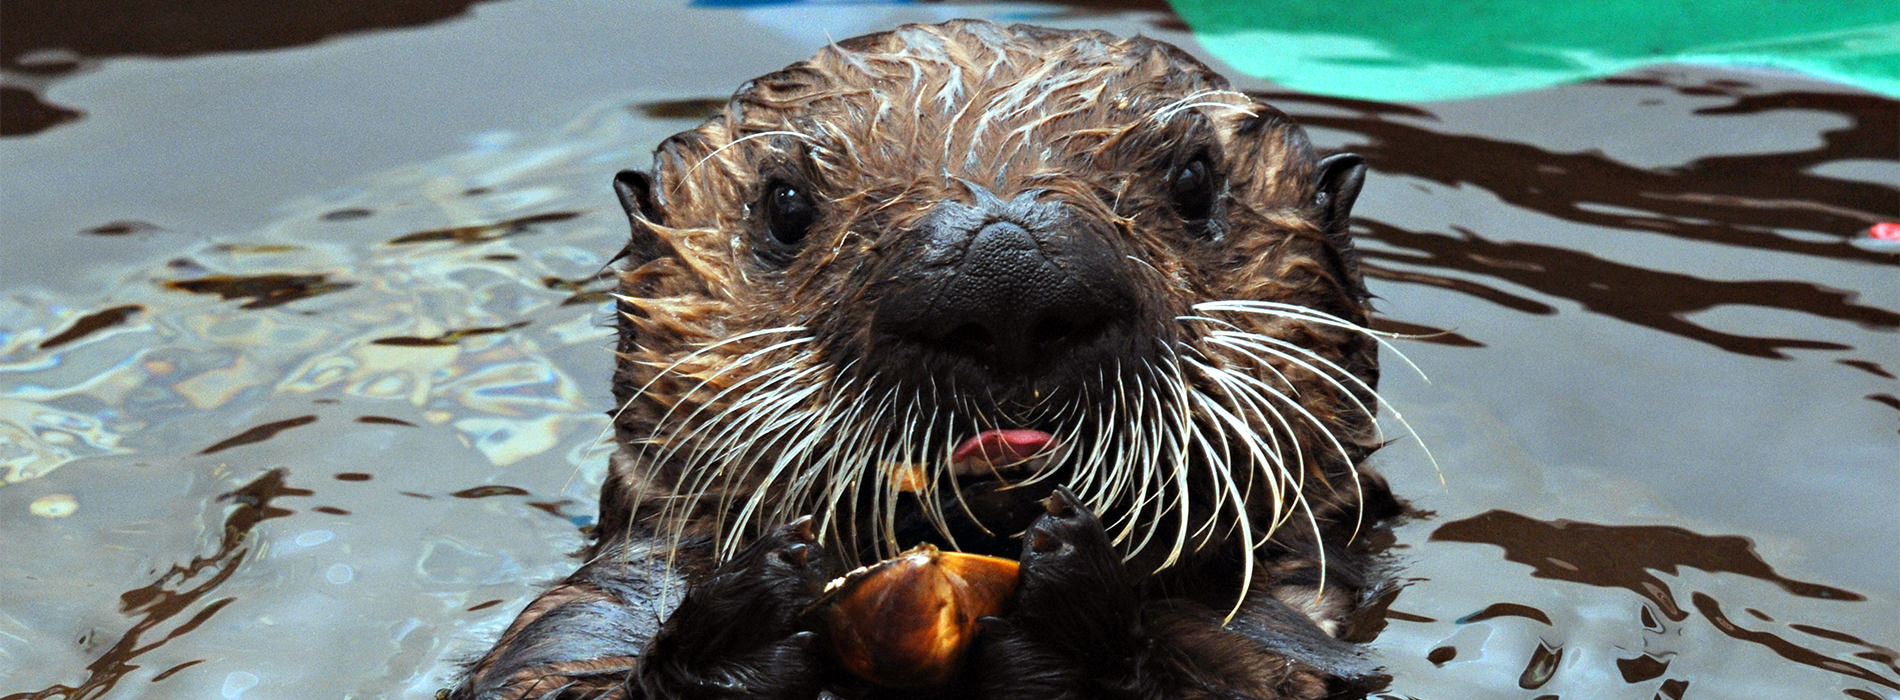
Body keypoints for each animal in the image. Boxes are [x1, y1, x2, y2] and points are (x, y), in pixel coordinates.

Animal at [451, 20, 1400, 700]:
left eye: (1196, 182)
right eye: (784, 205)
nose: (1006, 274)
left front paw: (1074, 622)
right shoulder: (580, 617)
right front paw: (743, 625)